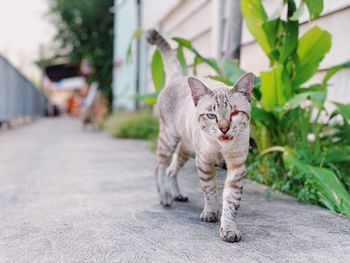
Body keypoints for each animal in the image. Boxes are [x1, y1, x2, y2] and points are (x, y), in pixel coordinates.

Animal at [146, 28, 253, 243]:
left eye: (234, 114)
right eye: (211, 115)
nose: (224, 129)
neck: (221, 147)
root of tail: (178, 76)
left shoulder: (236, 167)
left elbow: (231, 200)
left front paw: (228, 229)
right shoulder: (204, 161)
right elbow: (210, 190)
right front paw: (210, 213)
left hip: (185, 149)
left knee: (171, 170)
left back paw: (177, 195)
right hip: (169, 139)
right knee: (160, 166)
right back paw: (166, 197)